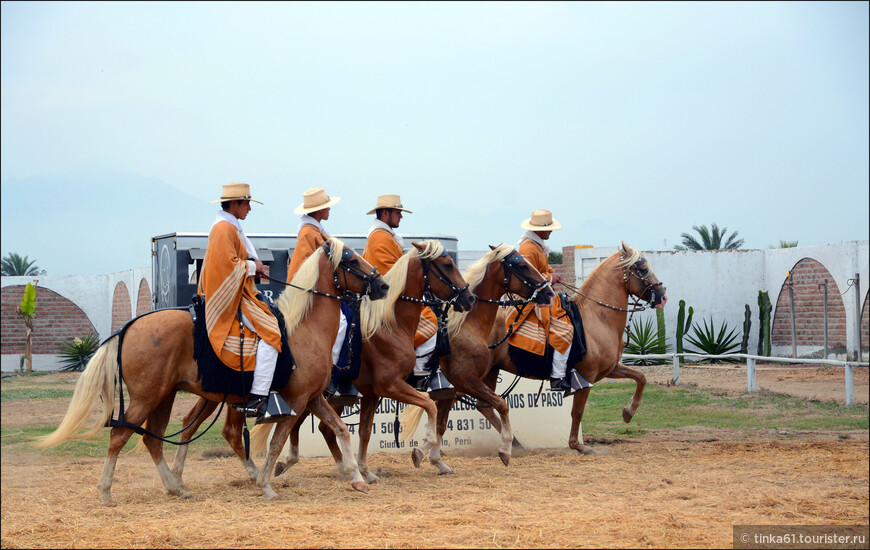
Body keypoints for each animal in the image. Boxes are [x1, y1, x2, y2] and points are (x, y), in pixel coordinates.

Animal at [34, 237, 388, 504]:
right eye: (352, 259)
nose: (383, 285)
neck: (304, 330)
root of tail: (129, 327)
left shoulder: (312, 398)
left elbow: (339, 430)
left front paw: (357, 477)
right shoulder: (297, 401)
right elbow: (277, 443)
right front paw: (267, 484)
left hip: (167, 397)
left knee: (154, 439)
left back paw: (175, 486)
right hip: (149, 397)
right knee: (121, 435)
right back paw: (107, 492)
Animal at [255, 242, 476, 484]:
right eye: (448, 264)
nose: (469, 298)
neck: (391, 325)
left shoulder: (372, 394)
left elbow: (365, 431)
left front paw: (365, 470)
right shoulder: (391, 386)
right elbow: (429, 407)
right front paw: (420, 450)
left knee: (316, 426)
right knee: (306, 424)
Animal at [400, 245, 552, 466]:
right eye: (522, 265)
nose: (549, 292)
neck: (467, 326)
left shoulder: (452, 390)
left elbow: (440, 426)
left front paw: (429, 456)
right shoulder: (468, 382)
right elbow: (501, 404)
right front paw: (505, 450)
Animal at [484, 244, 668, 454]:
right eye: (643, 269)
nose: (663, 296)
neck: (597, 317)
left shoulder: (611, 368)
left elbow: (641, 377)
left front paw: (628, 412)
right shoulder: (586, 376)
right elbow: (578, 411)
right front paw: (577, 445)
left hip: (490, 371)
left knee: (485, 405)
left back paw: (516, 444)